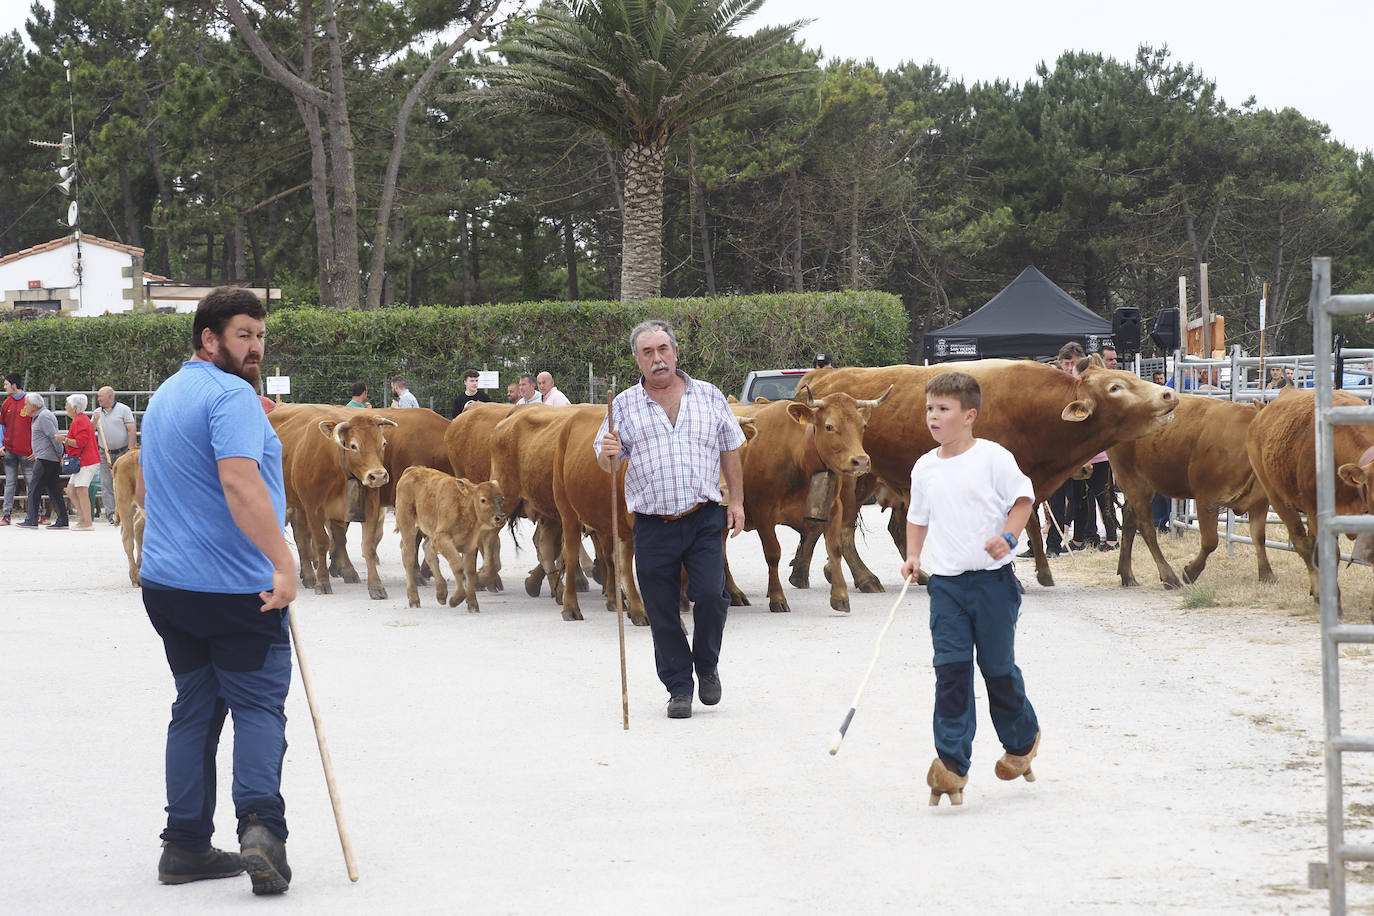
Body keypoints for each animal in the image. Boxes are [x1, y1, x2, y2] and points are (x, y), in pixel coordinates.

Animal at [395, 469, 508, 612]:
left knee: (428, 549)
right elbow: (458, 566)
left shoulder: (470, 544)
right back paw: (414, 599)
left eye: (502, 498)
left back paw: (441, 593)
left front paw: (473, 604)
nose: (500, 517)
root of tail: (412, 470)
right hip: (407, 527)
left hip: (431, 534)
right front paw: (456, 599)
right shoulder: (443, 539)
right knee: (408, 557)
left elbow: (470, 571)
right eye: (483, 499)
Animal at [802, 357, 1176, 587]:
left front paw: (1040, 572)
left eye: (1130, 377)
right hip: (853, 481)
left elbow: (1028, 526)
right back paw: (862, 578)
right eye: (1115, 387)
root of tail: (827, 375)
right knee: (842, 530)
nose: (1169, 393)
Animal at [1110, 398, 1269, 590]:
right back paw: (1169, 577)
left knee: (1129, 519)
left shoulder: (1260, 502)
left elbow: (1258, 537)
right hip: (1131, 478)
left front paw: (1267, 574)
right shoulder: (1206, 497)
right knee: (1146, 526)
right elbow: (1210, 541)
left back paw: (1127, 575)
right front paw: (1190, 572)